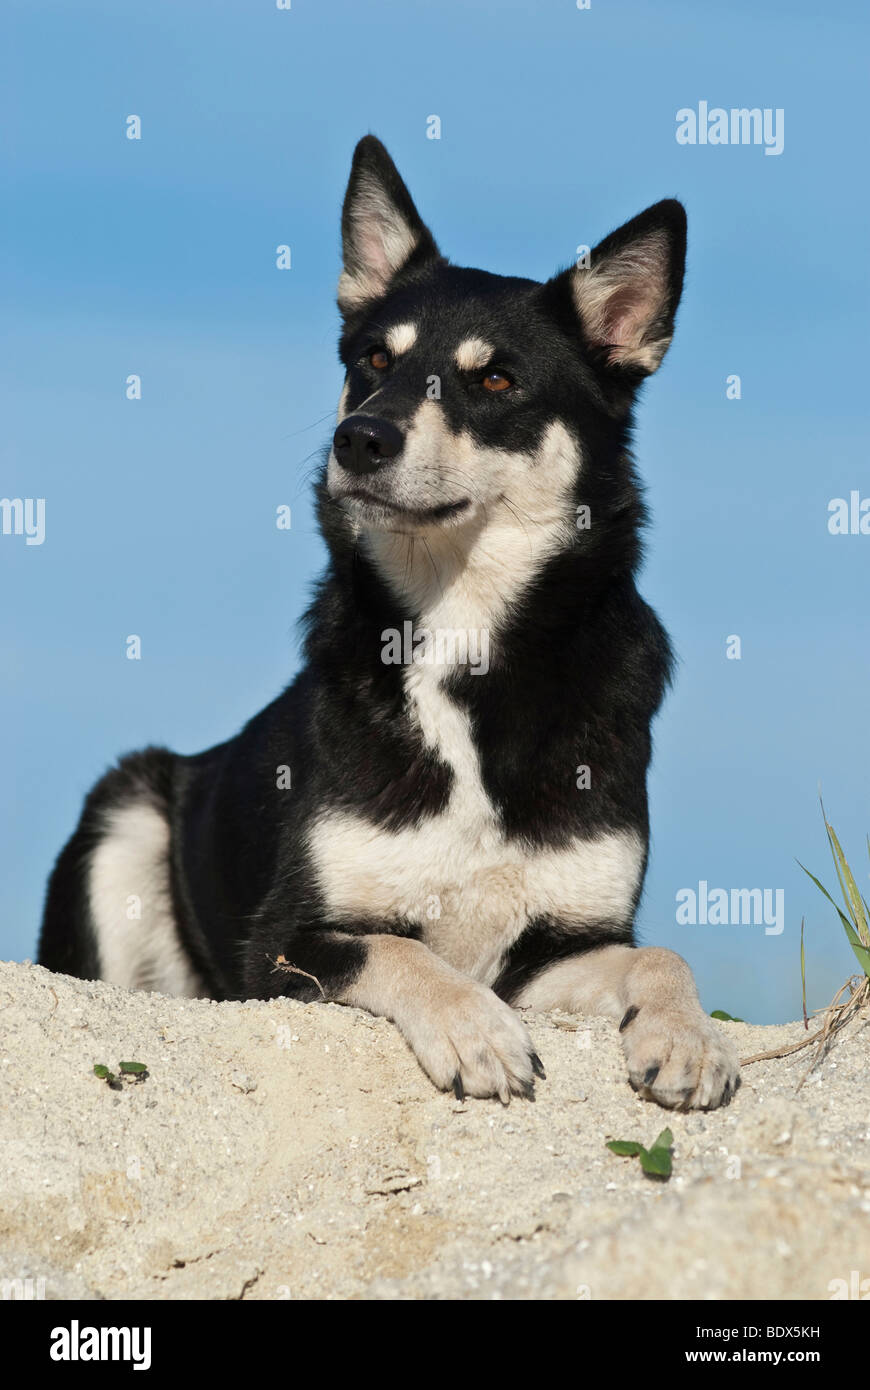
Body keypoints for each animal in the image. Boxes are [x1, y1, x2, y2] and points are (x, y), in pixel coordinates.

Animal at [37, 135, 733, 1112]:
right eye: (372, 361)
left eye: (495, 379)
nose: (360, 439)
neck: (459, 640)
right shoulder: (283, 944)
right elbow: (400, 950)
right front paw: (475, 1030)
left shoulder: (561, 946)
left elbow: (661, 955)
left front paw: (687, 1038)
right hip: (125, 813)